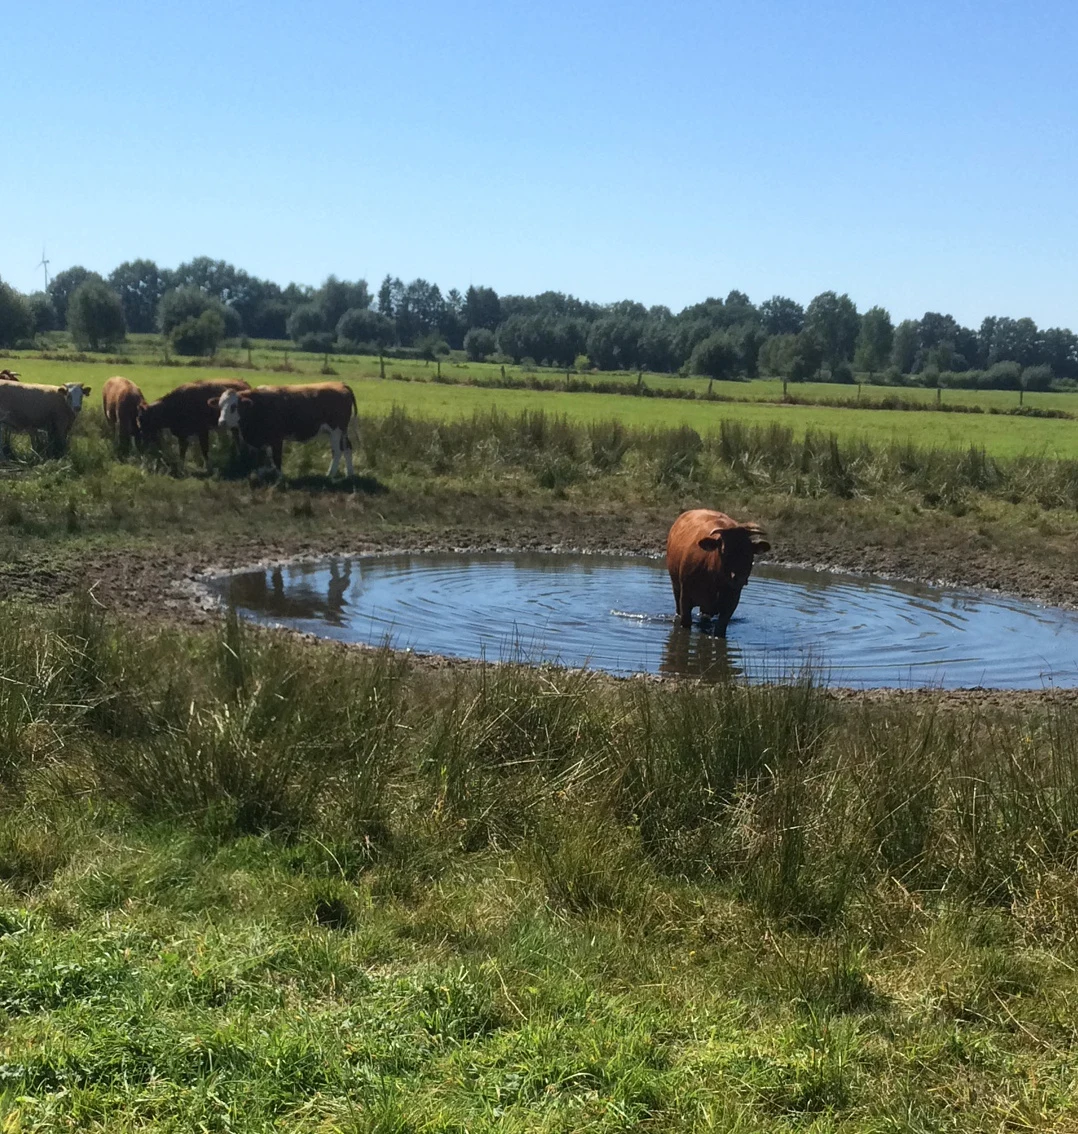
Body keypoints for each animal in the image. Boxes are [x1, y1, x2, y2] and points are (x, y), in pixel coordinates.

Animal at [209, 383, 358, 476]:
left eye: (234, 406)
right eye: (220, 405)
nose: (221, 422)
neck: (258, 405)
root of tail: (340, 385)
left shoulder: (277, 439)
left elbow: (276, 457)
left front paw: (279, 476)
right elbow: (264, 457)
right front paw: (262, 471)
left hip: (336, 431)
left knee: (337, 452)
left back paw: (330, 475)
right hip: (342, 432)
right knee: (347, 448)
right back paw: (349, 473)